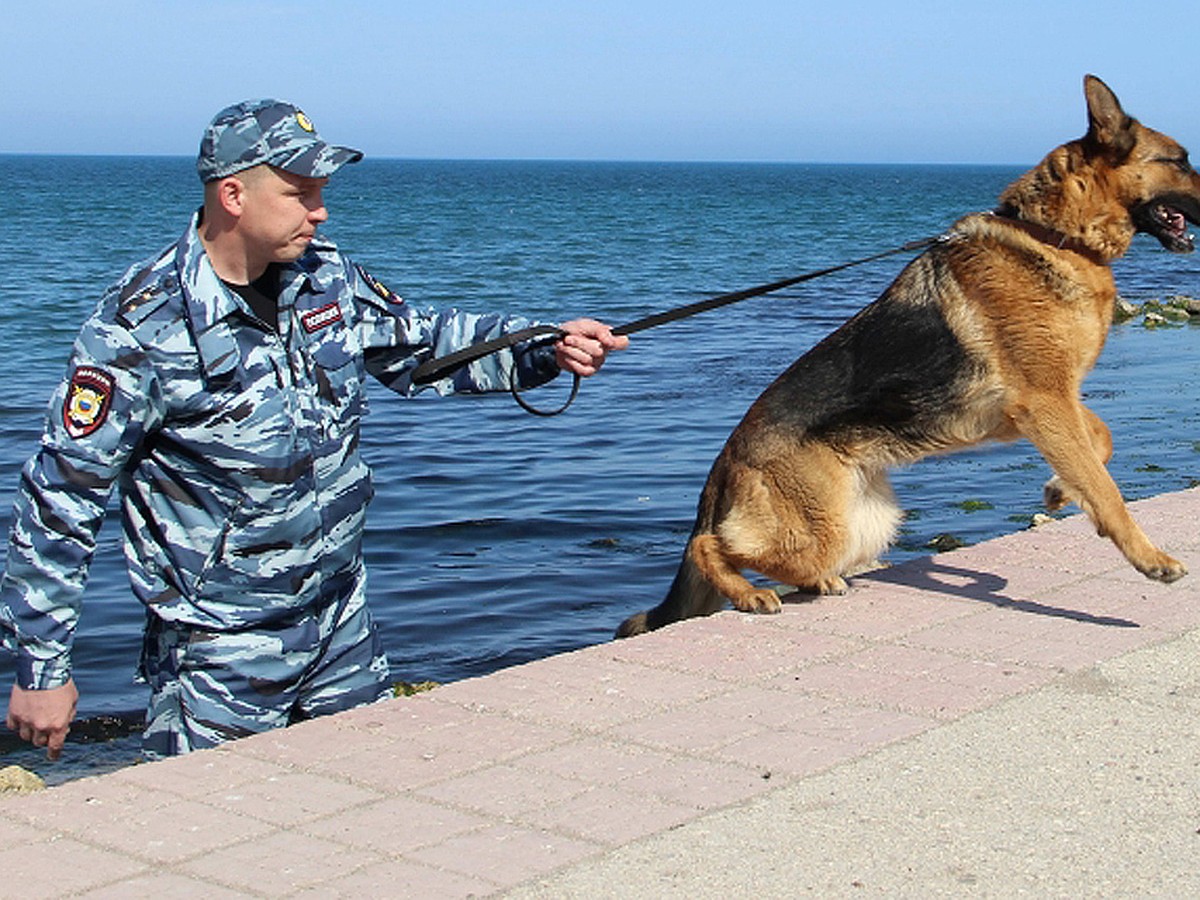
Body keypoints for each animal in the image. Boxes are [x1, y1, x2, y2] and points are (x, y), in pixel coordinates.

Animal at [619, 79, 1200, 643]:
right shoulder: (1044, 404)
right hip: (821, 530)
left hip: (863, 525)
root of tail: (726, 459)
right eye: (1180, 160)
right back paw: (750, 593)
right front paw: (1150, 558)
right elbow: (1106, 489)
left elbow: (1100, 444)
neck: (1054, 235)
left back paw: (814, 583)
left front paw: (1060, 488)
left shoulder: (1051, 404)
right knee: (709, 546)